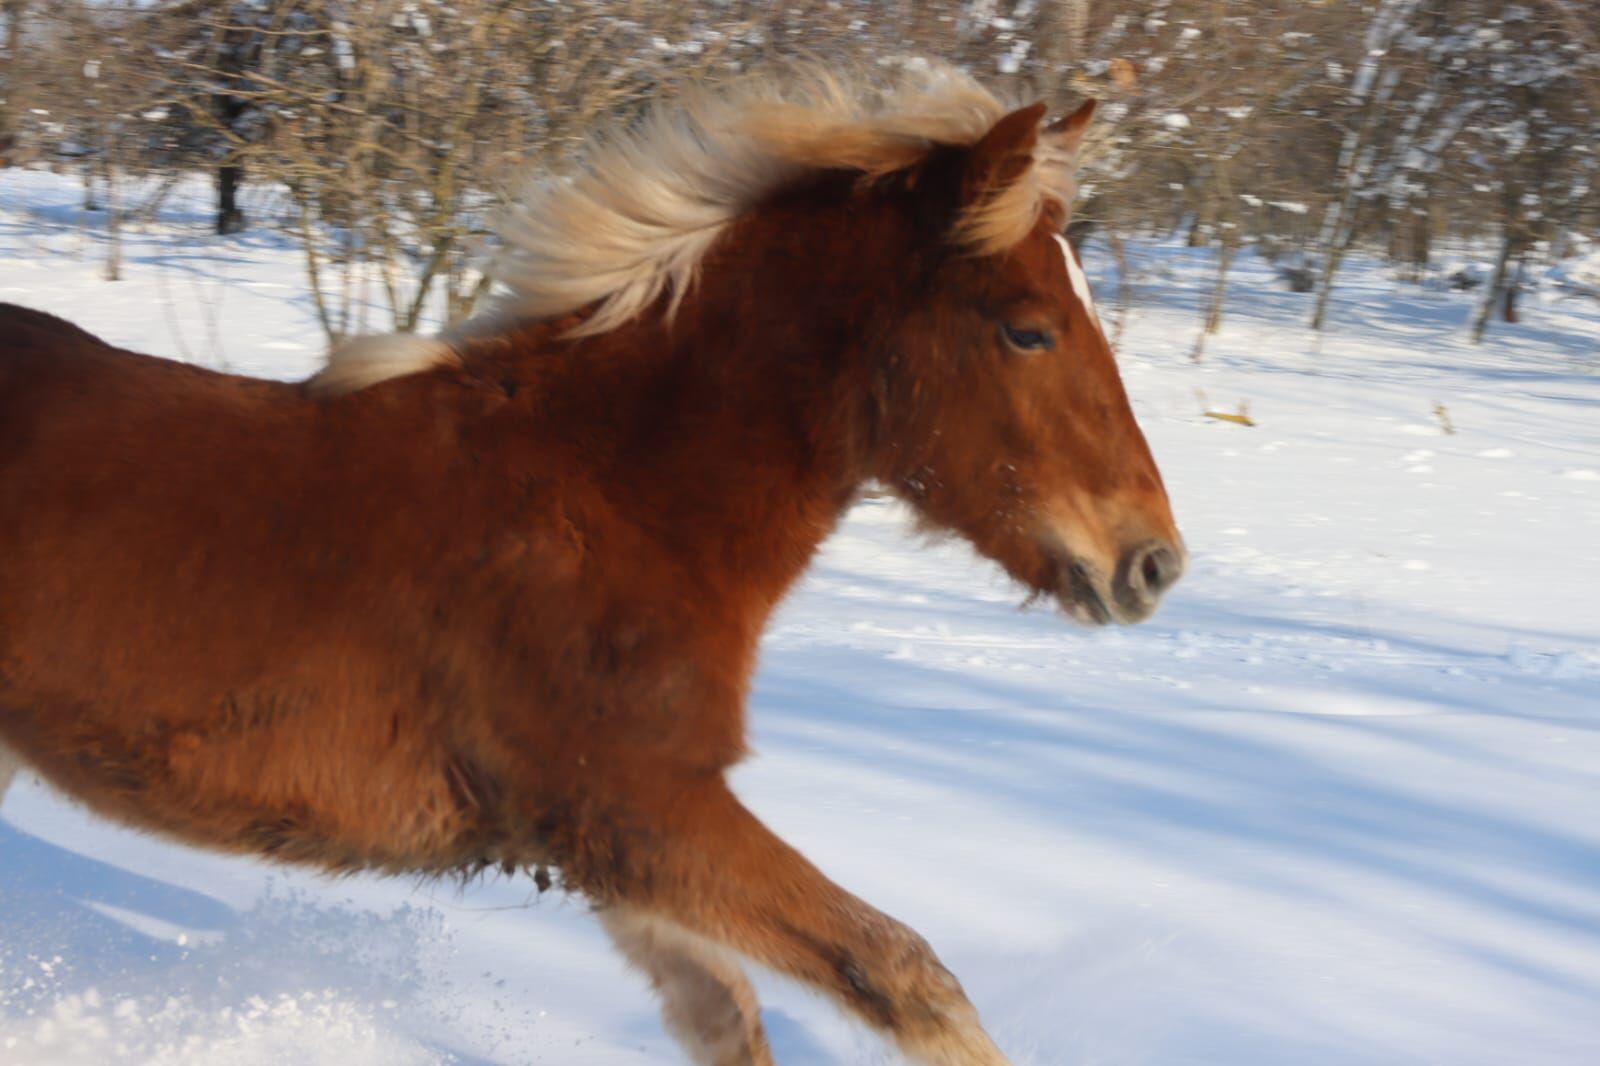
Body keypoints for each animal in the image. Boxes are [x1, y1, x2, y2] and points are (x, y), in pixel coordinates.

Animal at [0, 63, 1183, 1065]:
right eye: (1026, 329)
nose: (1153, 563)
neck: (613, 496)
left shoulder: (606, 845)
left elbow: (728, 1015)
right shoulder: (639, 810)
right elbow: (906, 976)